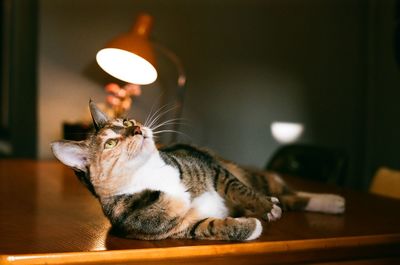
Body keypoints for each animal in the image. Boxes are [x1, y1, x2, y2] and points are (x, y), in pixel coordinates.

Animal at [51, 100, 346, 240]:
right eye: (111, 142)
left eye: (127, 121)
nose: (137, 129)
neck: (151, 173)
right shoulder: (177, 227)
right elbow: (210, 226)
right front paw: (251, 227)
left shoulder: (213, 169)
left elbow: (240, 190)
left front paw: (262, 207)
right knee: (288, 198)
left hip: (248, 173)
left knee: (286, 192)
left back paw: (331, 201)